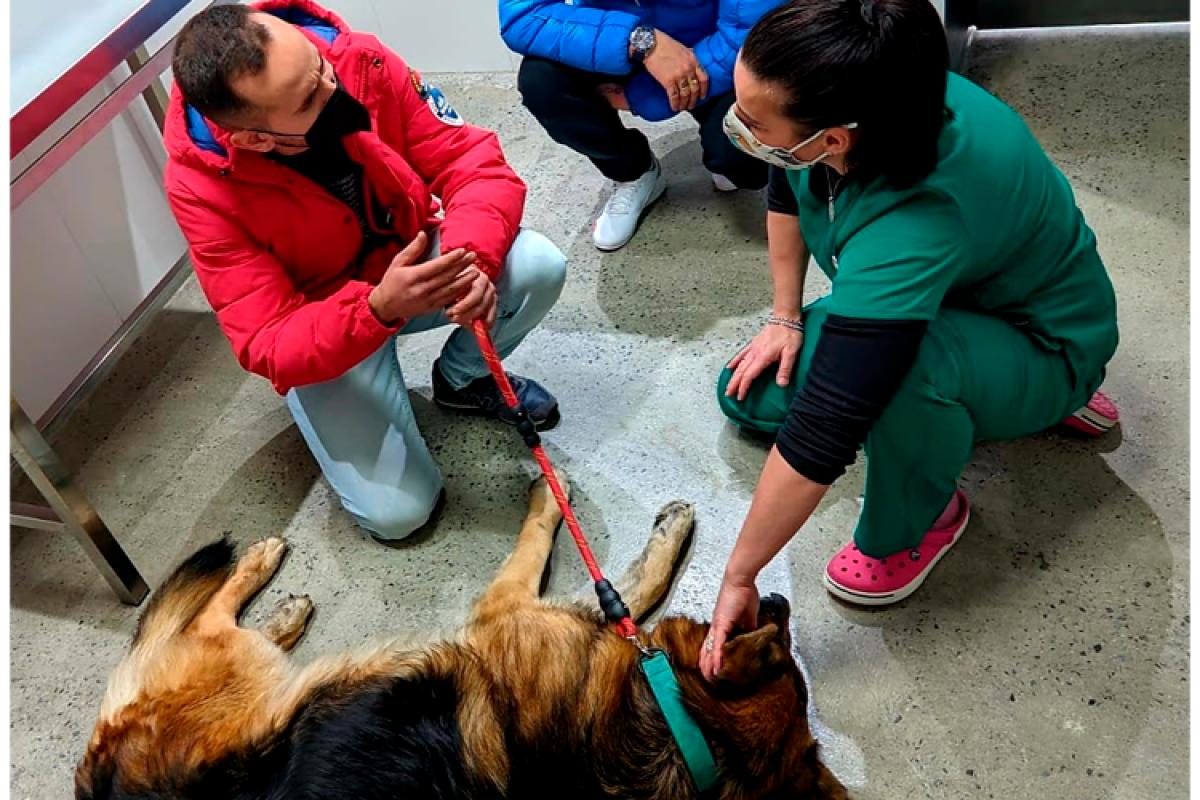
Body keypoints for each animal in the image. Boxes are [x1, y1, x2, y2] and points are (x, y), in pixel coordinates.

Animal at [76, 474, 849, 799]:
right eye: (783, 644)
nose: (778, 597)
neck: (679, 727)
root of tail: (98, 774)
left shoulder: (509, 611)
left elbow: (617, 582)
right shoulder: (511, 611)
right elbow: (625, 581)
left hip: (254, 679)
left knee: (219, 626)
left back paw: (278, 597)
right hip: (247, 677)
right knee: (204, 614)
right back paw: (269, 572)